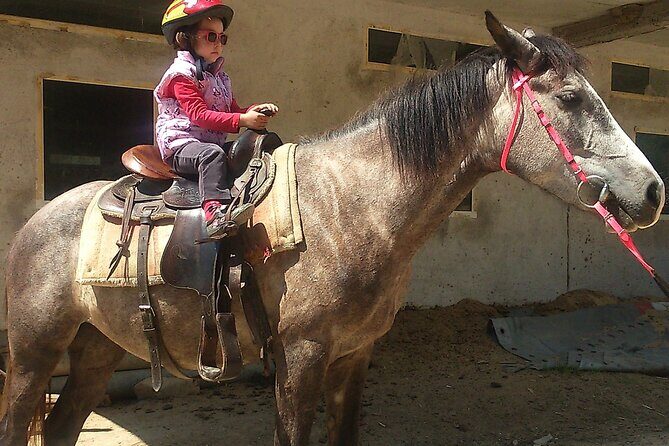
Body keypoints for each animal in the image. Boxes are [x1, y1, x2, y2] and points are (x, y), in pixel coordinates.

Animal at [0, 12, 664, 446]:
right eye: (572, 98)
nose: (654, 192)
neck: (355, 207)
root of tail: (35, 224)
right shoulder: (301, 357)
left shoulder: (354, 356)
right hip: (35, 352)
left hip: (97, 349)